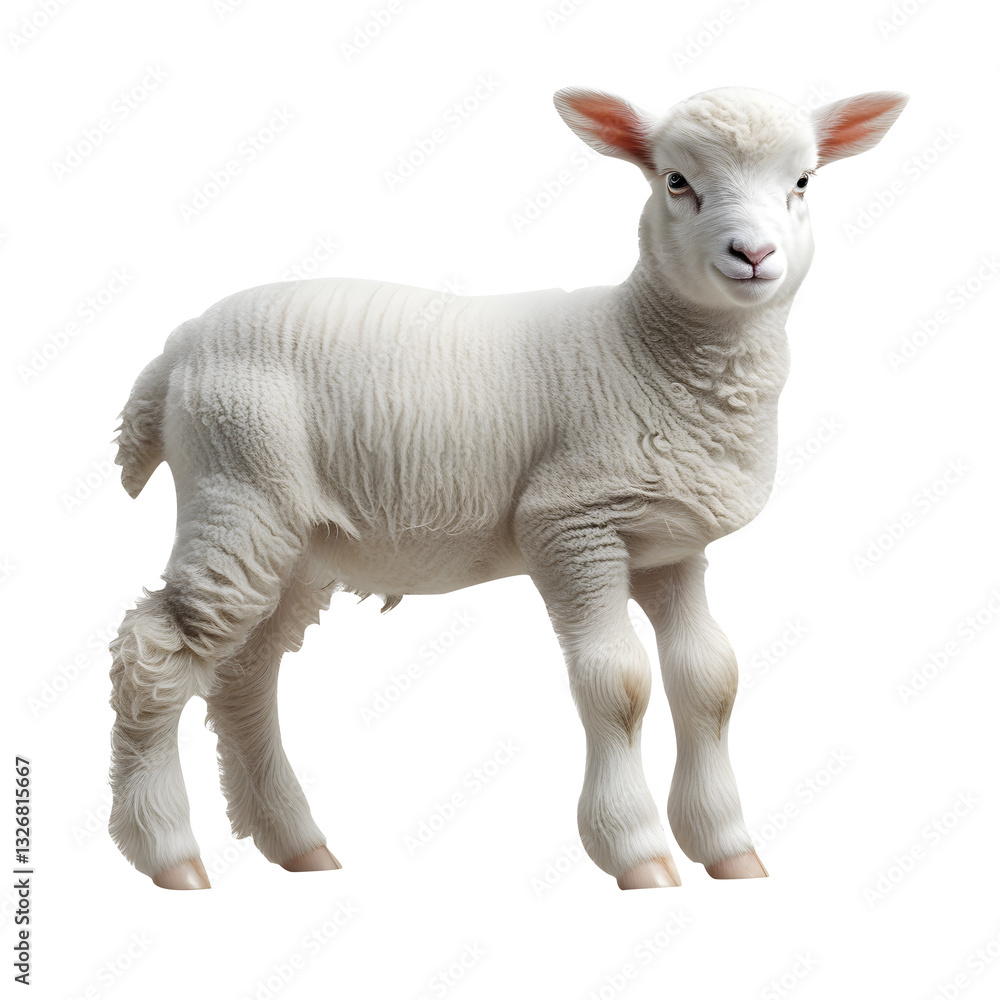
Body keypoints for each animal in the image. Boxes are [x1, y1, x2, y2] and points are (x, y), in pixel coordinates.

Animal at [109, 85, 907, 890]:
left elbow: (709, 679)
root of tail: (176, 349)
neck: (644, 347)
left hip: (297, 540)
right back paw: (170, 854)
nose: (754, 255)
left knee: (244, 676)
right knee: (156, 656)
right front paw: (639, 853)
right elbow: (618, 683)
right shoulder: (572, 522)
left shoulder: (668, 545)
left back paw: (300, 845)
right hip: (239, 491)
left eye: (803, 180)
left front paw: (729, 849)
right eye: (677, 182)